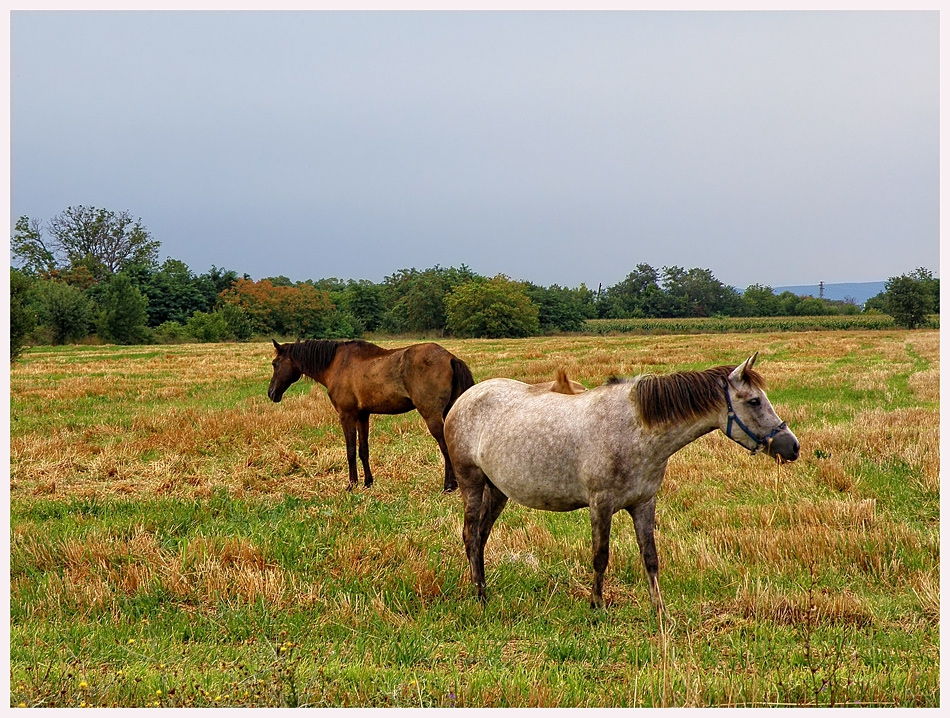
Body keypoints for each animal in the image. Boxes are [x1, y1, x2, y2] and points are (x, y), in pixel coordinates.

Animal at [268, 340, 476, 492]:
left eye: (275, 364)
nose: (271, 393)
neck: (336, 364)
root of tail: (450, 357)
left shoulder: (347, 415)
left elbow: (351, 451)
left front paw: (351, 484)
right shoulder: (362, 416)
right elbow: (363, 450)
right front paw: (368, 482)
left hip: (432, 416)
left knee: (445, 447)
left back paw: (449, 485)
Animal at [442, 354, 800, 620]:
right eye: (754, 401)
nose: (792, 446)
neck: (634, 430)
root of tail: (464, 399)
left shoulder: (644, 503)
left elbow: (650, 557)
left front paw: (660, 612)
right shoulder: (601, 505)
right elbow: (600, 556)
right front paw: (597, 606)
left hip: (497, 490)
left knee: (481, 536)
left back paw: (483, 588)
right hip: (471, 482)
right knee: (471, 535)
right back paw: (480, 596)